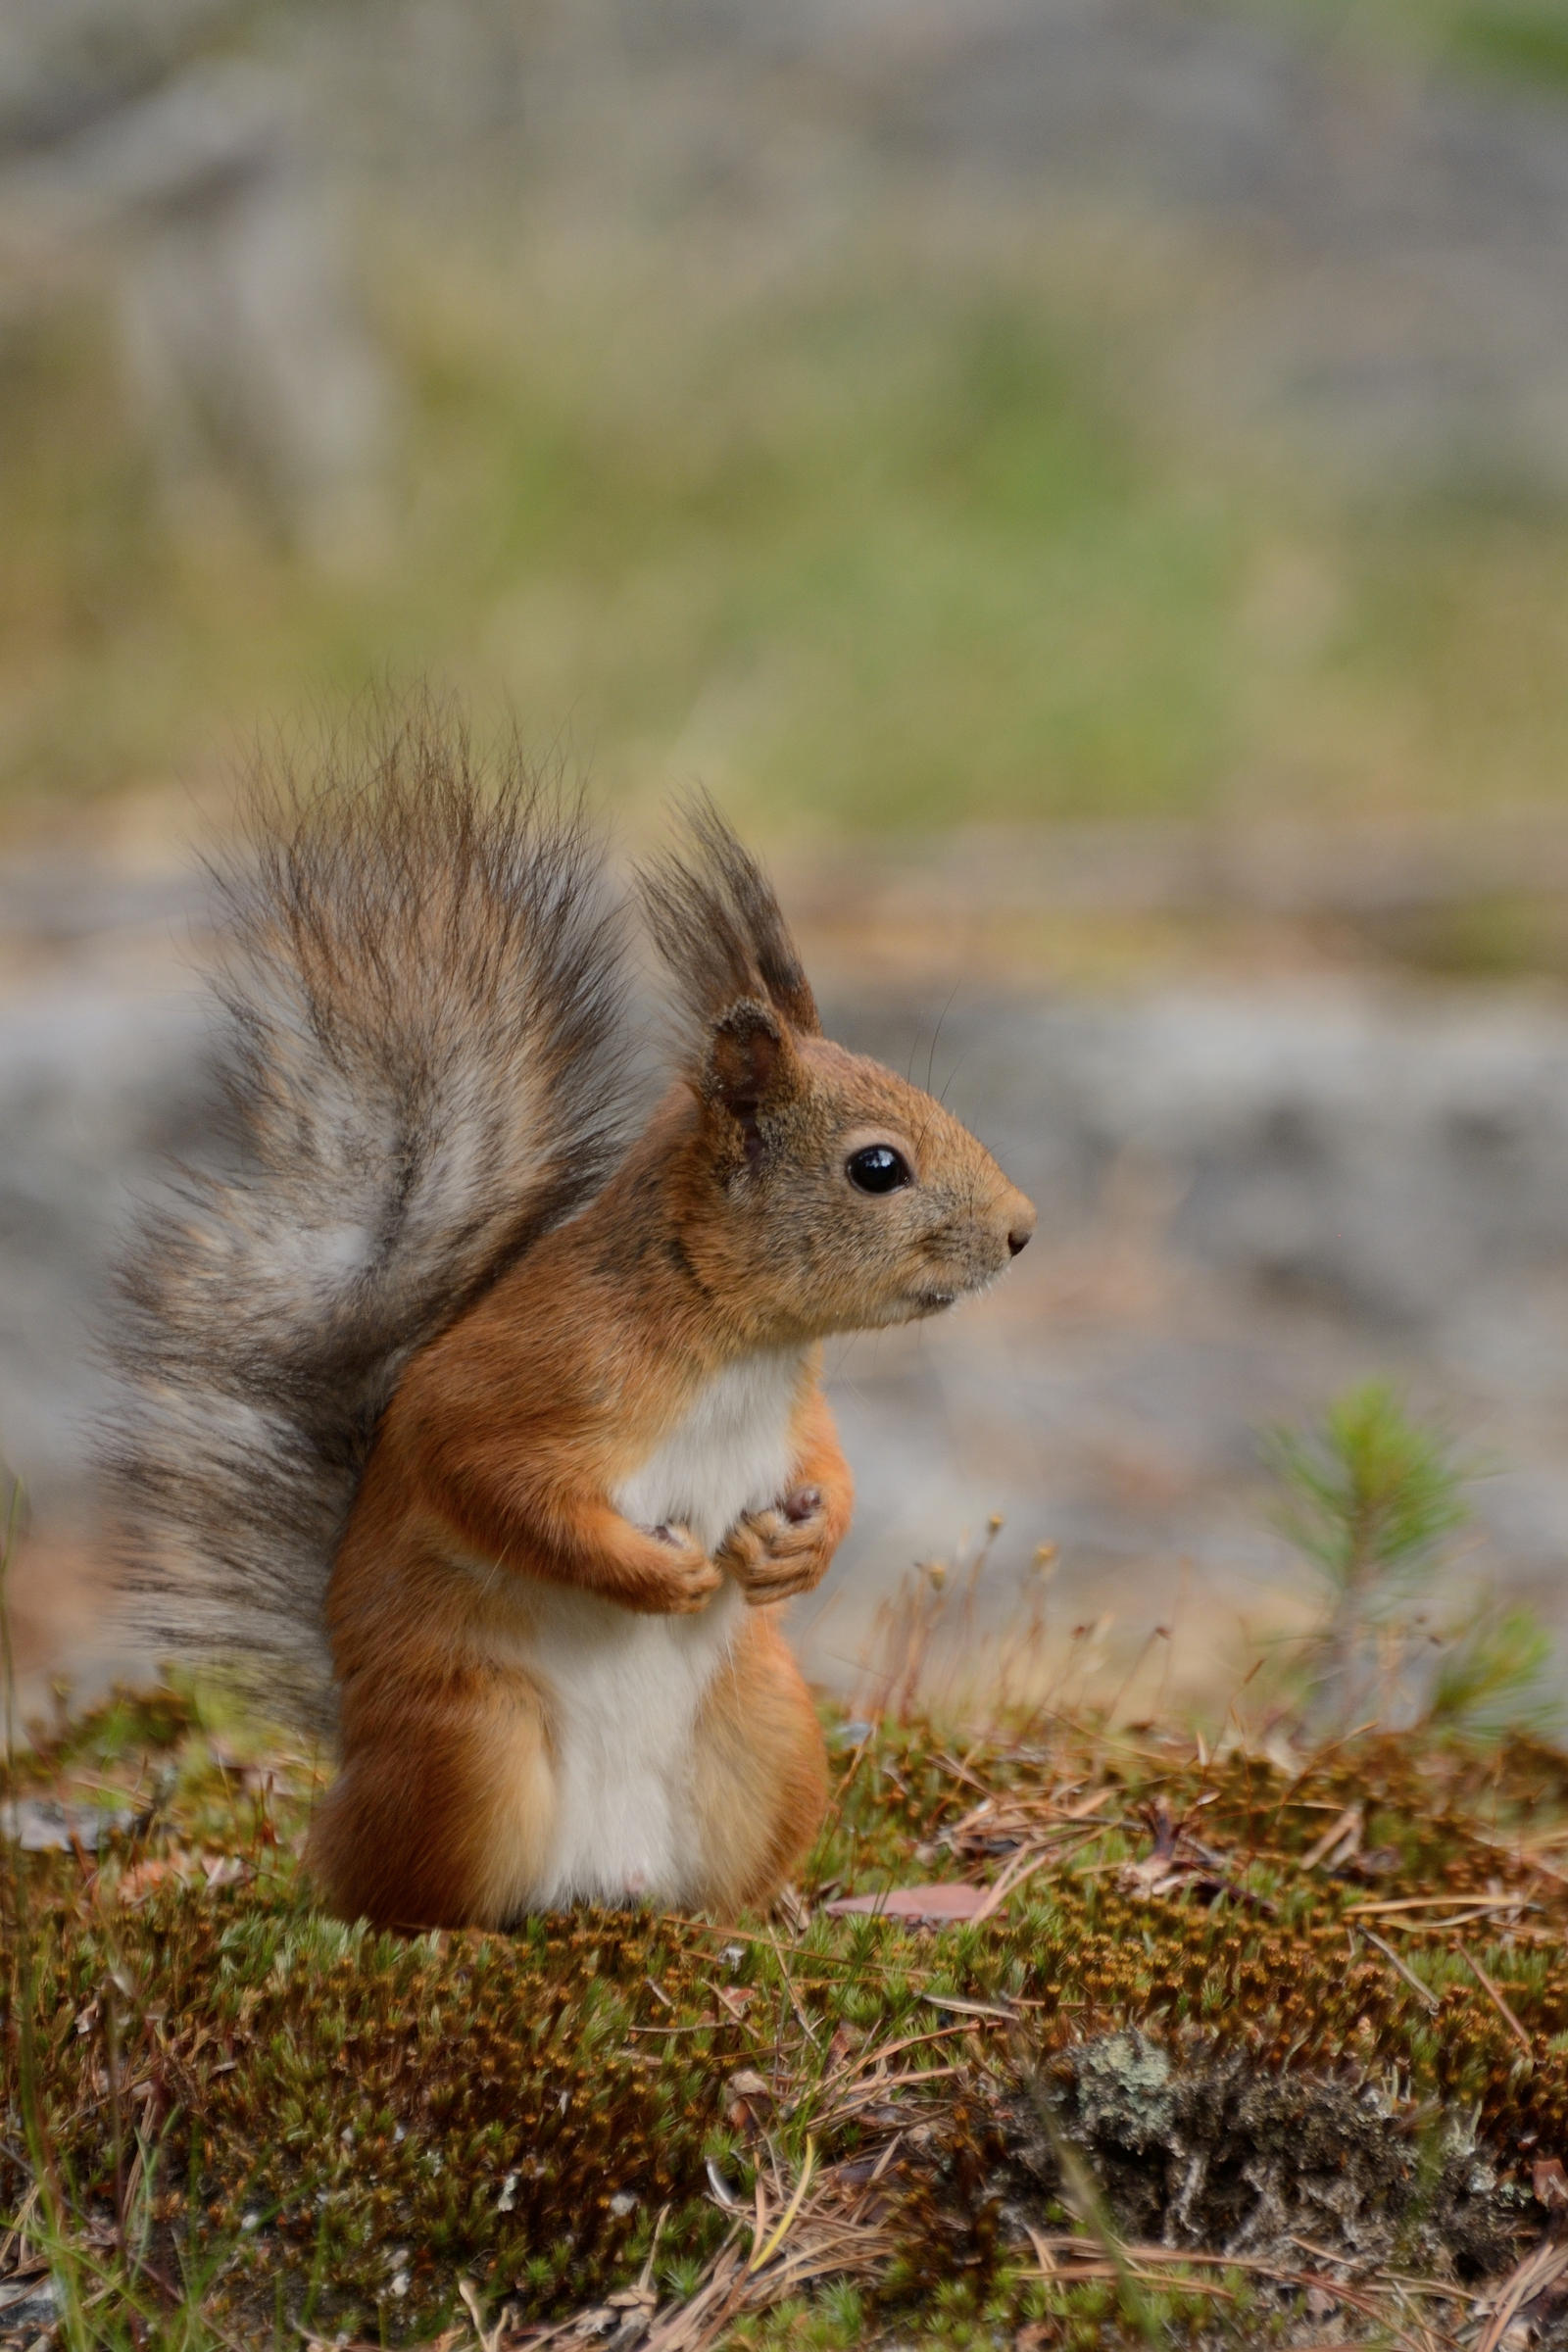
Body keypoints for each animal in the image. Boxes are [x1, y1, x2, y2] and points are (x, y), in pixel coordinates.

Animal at [113, 714, 1044, 1929]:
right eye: (876, 1167)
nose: (1023, 1231)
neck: (735, 1344)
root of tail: (604, 1878)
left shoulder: (796, 1416)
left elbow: (830, 1469)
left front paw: (800, 1547)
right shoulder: (530, 1375)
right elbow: (490, 1478)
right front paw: (655, 1577)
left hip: (770, 1730)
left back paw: (765, 1916)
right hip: (469, 1745)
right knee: (381, 1884)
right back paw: (437, 1930)